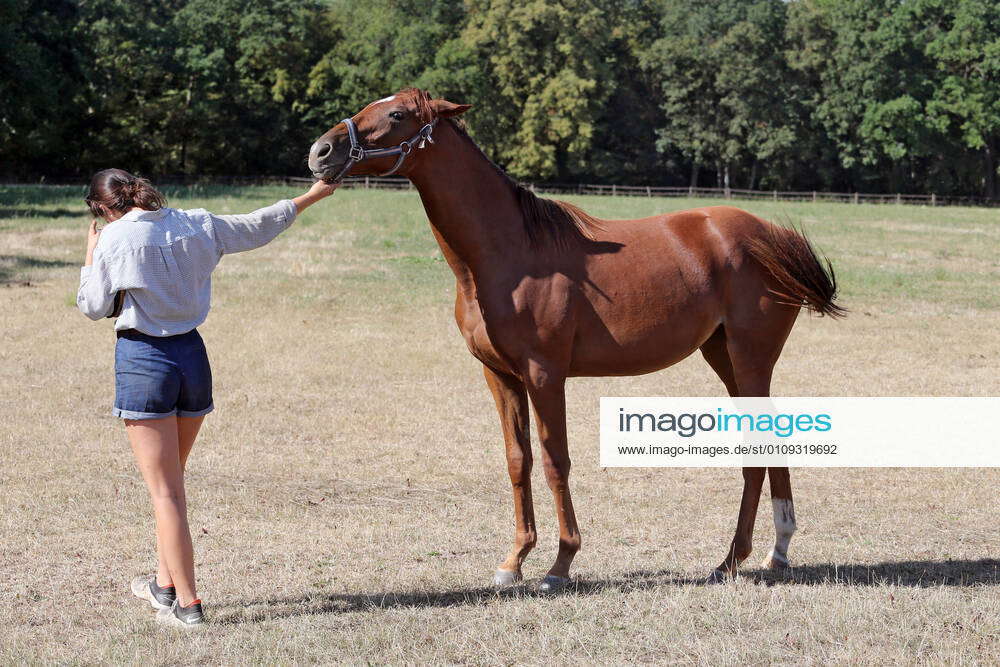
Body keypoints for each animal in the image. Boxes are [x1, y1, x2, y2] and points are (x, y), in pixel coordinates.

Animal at [307, 88, 844, 590]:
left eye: (397, 114)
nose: (320, 151)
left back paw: (739, 558)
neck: (508, 252)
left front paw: (560, 564)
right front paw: (514, 561)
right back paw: (767, 554)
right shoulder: (499, 375)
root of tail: (772, 236)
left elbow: (554, 461)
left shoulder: (545, 374)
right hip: (724, 357)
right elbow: (518, 460)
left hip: (749, 358)